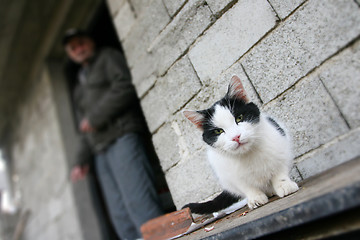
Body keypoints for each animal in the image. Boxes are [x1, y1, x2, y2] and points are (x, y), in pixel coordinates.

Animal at [183, 75, 298, 214]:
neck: (249, 154)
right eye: (218, 131)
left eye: (239, 118)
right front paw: (255, 197)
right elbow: (245, 186)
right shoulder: (229, 174)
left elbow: (279, 171)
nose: (236, 137)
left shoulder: (281, 145)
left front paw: (284, 185)